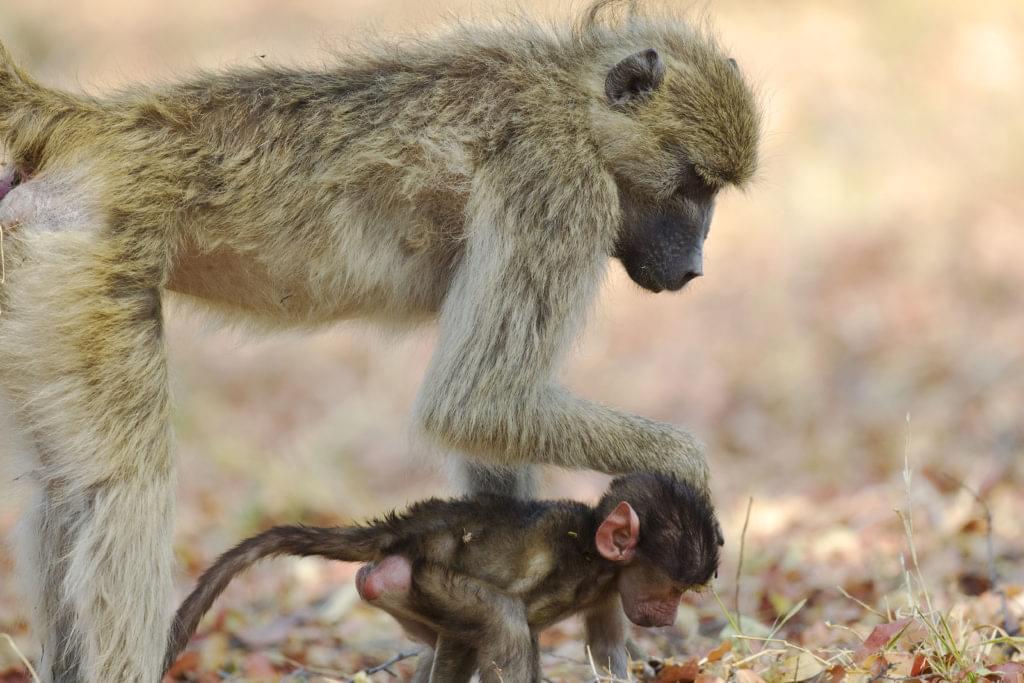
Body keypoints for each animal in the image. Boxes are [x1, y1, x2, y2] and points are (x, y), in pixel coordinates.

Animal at [164, 473, 721, 682]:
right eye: (672, 589)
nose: (668, 616)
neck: (599, 558)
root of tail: (417, 526)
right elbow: (514, 631)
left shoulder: (608, 591)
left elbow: (604, 651)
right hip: (430, 578)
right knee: (504, 623)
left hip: (399, 587)